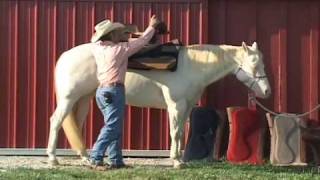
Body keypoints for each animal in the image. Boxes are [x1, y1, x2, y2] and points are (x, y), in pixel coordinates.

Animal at [46, 40, 270, 167]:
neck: (193, 66)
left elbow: (180, 132)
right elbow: (175, 132)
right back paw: (53, 158)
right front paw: (177, 162)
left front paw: (177, 158)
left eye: (262, 63)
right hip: (69, 98)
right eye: (253, 64)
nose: (267, 91)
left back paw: (84, 158)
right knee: (56, 121)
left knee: (76, 125)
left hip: (83, 98)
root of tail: (65, 56)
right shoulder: (176, 106)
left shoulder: (186, 107)